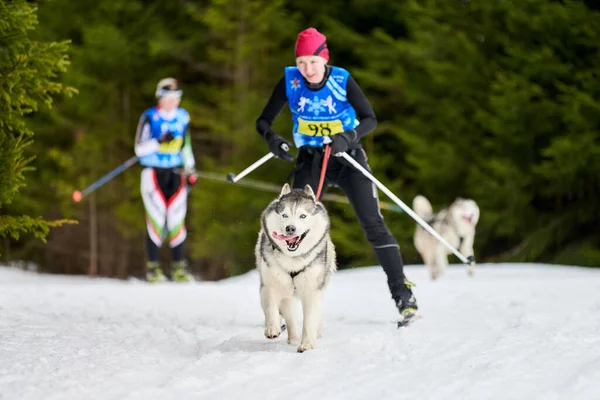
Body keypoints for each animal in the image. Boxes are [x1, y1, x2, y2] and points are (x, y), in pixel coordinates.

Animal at [254, 183, 336, 352]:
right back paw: (292, 338)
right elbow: (271, 306)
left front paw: (307, 344)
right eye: (284, 215)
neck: (292, 260)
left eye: (302, 216)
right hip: (287, 292)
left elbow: (310, 320)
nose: (290, 228)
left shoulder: (313, 290)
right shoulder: (269, 284)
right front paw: (272, 328)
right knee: (289, 315)